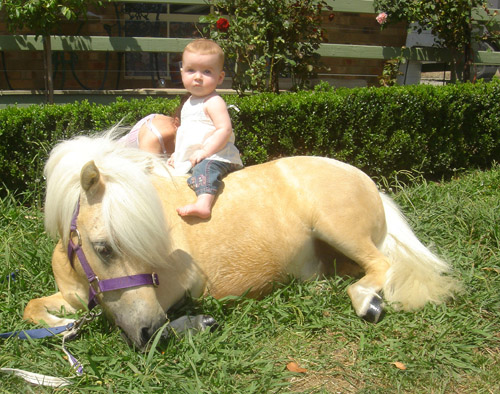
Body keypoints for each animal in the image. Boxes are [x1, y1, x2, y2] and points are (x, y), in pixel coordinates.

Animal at [24, 132, 460, 348]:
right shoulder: (77, 296)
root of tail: (363, 177)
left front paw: (193, 324)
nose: (147, 330)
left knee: (381, 265)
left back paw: (367, 302)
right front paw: (63, 324)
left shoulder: (179, 286)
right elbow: (34, 308)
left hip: (338, 229)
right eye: (103, 248)